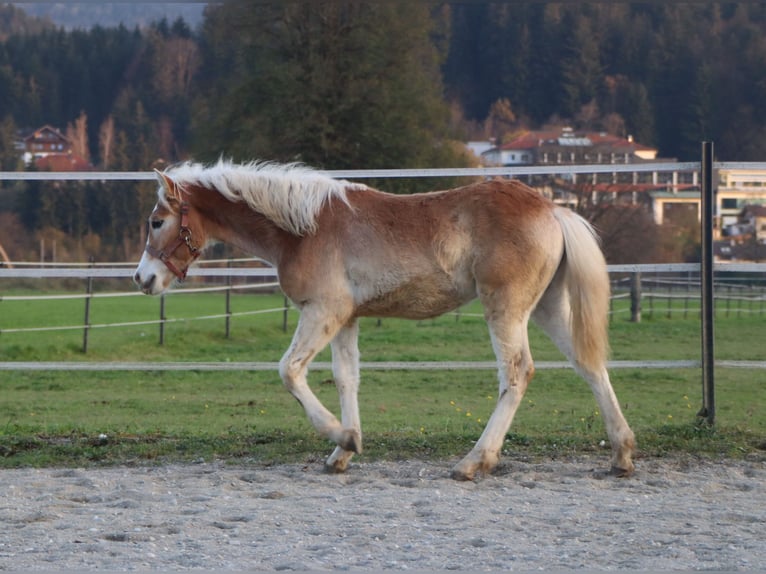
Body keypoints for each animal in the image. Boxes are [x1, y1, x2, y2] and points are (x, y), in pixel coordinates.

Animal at [135, 159, 640, 482]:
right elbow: (346, 380)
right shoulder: (345, 319)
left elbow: (290, 372)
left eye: (157, 221)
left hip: (506, 308)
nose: (143, 279)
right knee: (589, 366)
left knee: (517, 374)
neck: (303, 229)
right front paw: (342, 452)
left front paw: (343, 438)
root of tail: (553, 209)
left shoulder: (322, 312)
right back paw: (621, 455)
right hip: (549, 307)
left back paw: (474, 462)